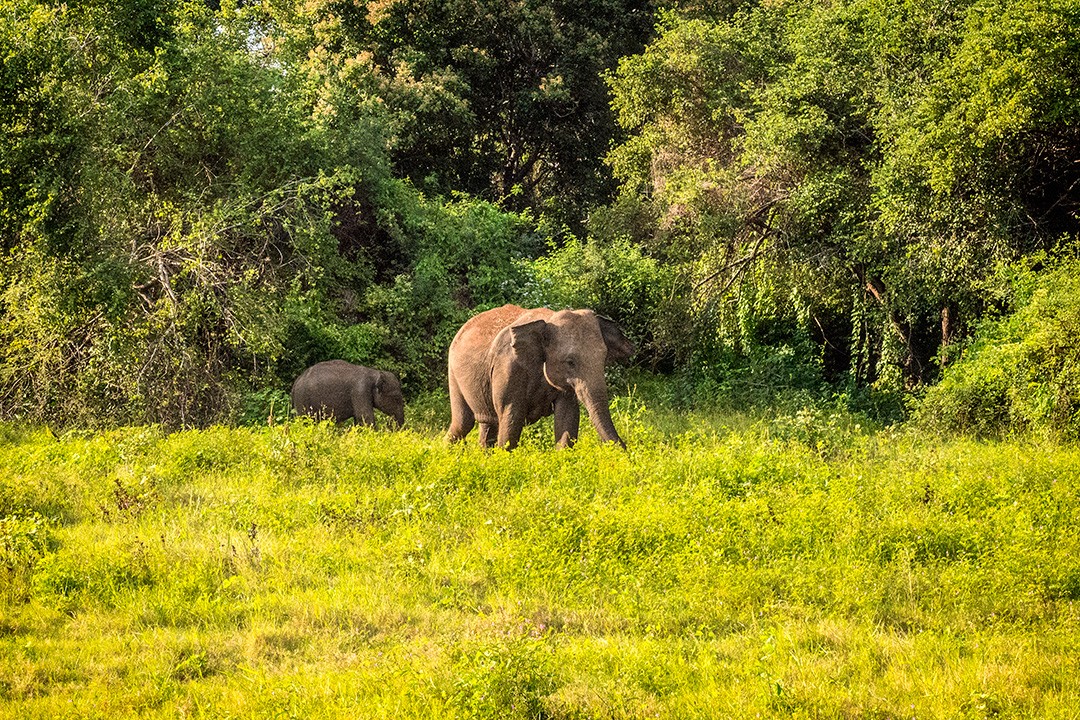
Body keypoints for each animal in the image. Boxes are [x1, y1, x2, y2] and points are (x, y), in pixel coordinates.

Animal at [444, 304, 630, 451]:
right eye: (570, 362)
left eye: (604, 359)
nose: (627, 451)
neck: (548, 321)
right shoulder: (508, 367)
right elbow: (511, 417)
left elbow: (567, 415)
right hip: (453, 371)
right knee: (463, 423)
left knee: (487, 425)